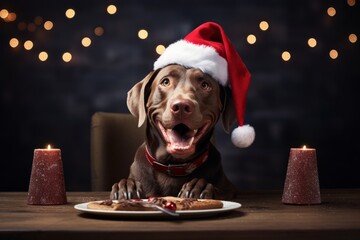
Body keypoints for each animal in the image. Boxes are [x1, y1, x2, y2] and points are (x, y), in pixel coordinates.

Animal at [110, 64, 239, 201]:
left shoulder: (231, 189)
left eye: (205, 85)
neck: (174, 166)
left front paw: (199, 187)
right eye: (165, 82)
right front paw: (126, 186)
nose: (181, 106)